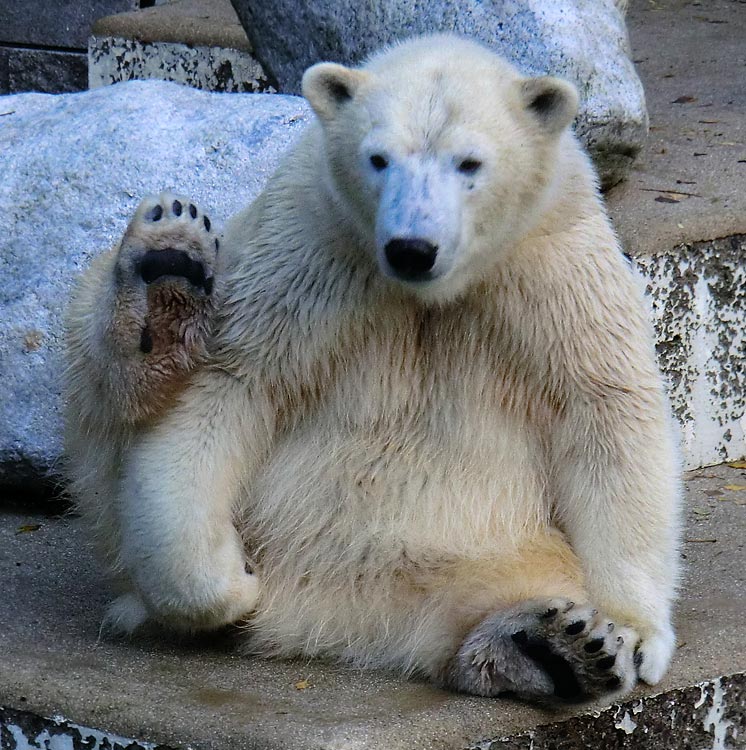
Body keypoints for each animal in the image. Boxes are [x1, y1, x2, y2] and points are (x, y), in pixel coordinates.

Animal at [65, 35, 680, 704]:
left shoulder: (551, 262)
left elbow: (604, 406)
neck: (429, 289)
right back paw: (164, 271)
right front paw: (229, 582)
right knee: (100, 379)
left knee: (499, 581)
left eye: (469, 163)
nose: (412, 248)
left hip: (472, 542)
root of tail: (324, 616)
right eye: (379, 159)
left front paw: (629, 634)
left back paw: (553, 646)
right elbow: (232, 386)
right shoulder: (309, 251)